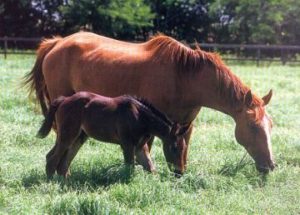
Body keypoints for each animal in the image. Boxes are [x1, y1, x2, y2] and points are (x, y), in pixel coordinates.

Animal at [36, 91, 189, 177]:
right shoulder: (127, 144)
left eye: (184, 148)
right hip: (68, 135)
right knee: (52, 158)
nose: (179, 172)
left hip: (79, 137)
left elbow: (151, 169)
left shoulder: (140, 147)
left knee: (63, 162)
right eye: (174, 148)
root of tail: (63, 100)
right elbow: (130, 168)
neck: (140, 117)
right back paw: (51, 184)